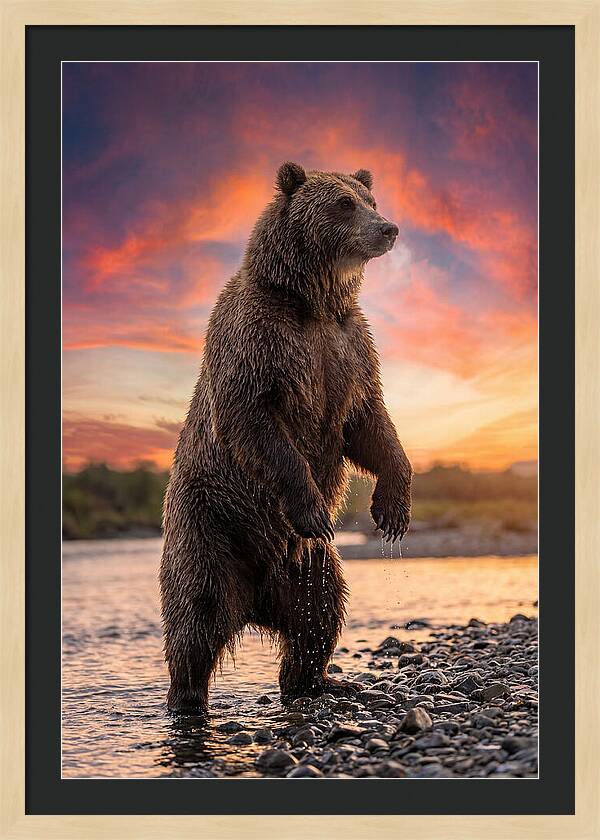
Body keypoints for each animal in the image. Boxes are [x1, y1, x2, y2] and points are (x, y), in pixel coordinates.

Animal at [160, 162, 413, 713]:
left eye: (370, 199)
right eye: (343, 203)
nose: (388, 228)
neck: (312, 302)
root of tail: (255, 600)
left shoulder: (348, 348)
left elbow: (370, 423)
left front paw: (393, 509)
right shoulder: (260, 341)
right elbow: (256, 421)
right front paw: (314, 507)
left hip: (308, 566)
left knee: (320, 612)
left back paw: (320, 680)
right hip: (210, 525)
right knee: (196, 614)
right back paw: (187, 699)